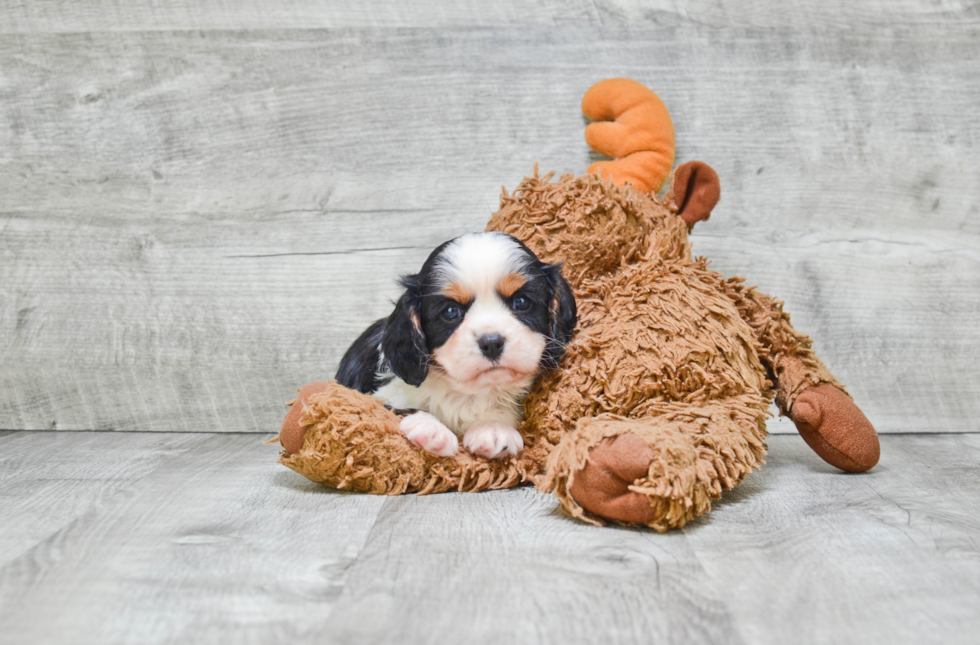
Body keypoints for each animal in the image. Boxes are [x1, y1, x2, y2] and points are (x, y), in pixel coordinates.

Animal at [338, 231, 576, 458]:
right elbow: (392, 408)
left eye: (521, 302)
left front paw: (494, 429)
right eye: (451, 311)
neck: (464, 393)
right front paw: (431, 429)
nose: (491, 343)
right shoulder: (373, 396)